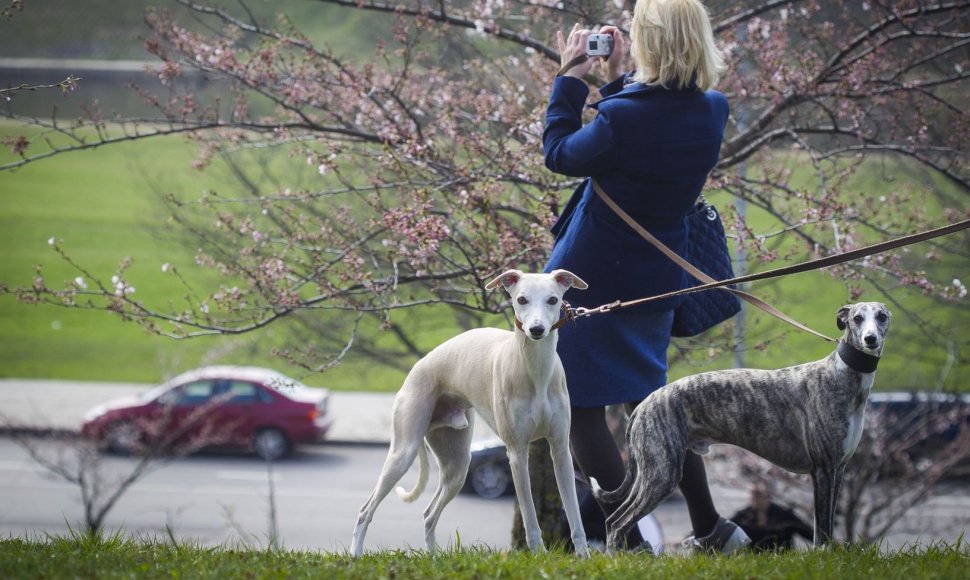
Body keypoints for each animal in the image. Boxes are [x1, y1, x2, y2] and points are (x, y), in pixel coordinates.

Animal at [350, 270, 588, 556]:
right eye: (521, 299)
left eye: (553, 299)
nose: (537, 330)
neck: (536, 373)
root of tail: (419, 365)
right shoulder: (517, 453)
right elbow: (530, 518)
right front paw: (539, 555)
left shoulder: (560, 449)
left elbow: (575, 516)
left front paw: (584, 557)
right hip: (403, 451)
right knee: (365, 510)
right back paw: (355, 554)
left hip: (458, 464)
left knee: (429, 514)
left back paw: (434, 558)